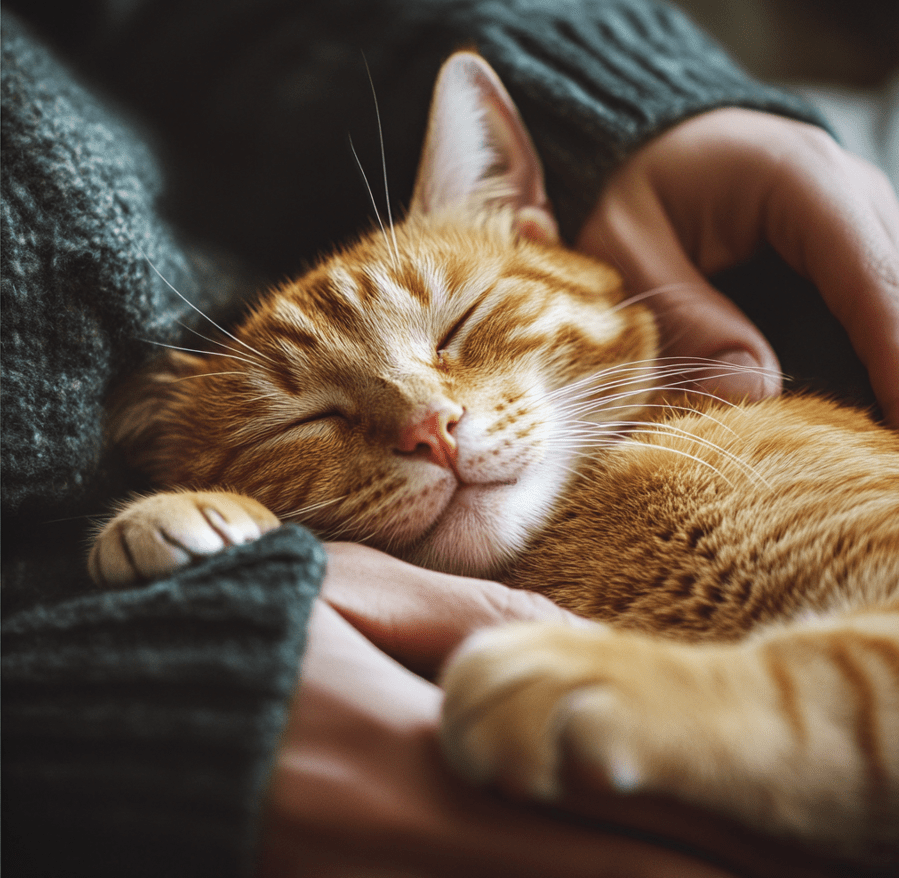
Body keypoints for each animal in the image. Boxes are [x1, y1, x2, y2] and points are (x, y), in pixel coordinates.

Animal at [93, 53, 899, 868]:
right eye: (308, 420)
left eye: (459, 323)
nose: (430, 430)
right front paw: (176, 515)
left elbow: (828, 683)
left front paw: (585, 673)